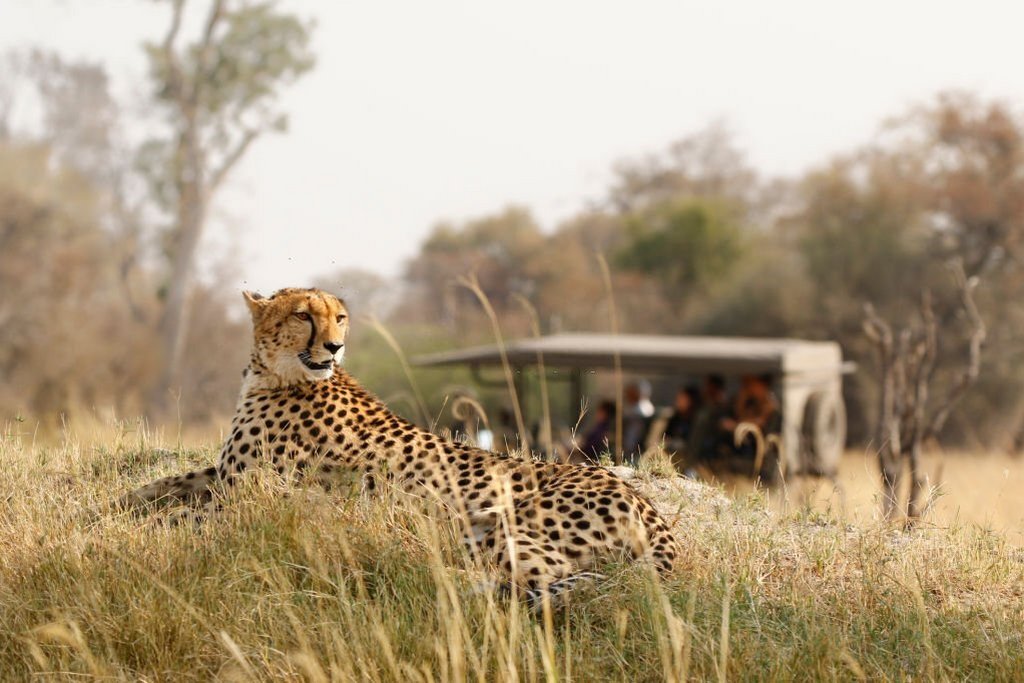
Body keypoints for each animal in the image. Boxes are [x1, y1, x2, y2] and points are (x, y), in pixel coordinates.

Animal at [125, 286, 679, 602]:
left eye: (340, 317)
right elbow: (163, 485)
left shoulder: (253, 492)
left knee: (550, 576)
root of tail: (645, 503)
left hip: (491, 524)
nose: (335, 346)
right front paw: (120, 503)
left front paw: (137, 526)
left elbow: (182, 514)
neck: (277, 374)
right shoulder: (225, 474)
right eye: (304, 315)